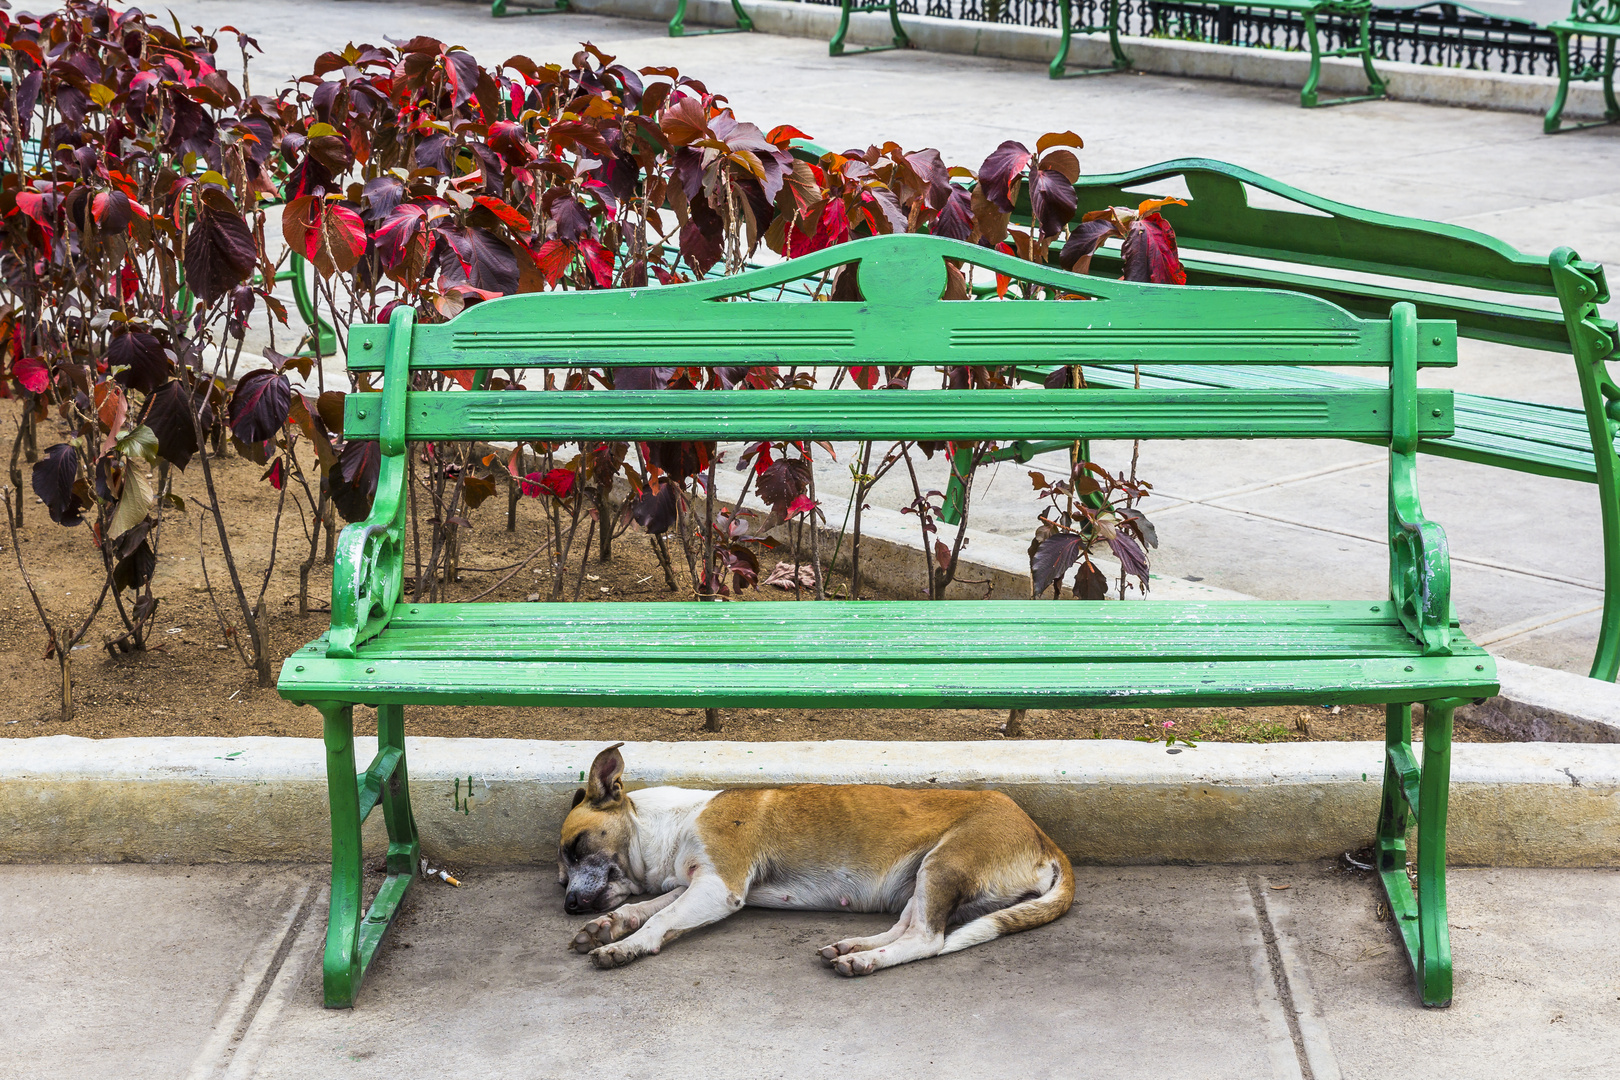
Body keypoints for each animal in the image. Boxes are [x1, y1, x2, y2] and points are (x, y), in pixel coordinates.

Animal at [557, 744, 1075, 977]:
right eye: (561, 876)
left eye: (577, 846)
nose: (569, 905)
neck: (672, 824)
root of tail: (1045, 839)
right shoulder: (694, 886)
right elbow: (644, 908)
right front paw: (608, 926)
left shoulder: (718, 887)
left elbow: (658, 920)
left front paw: (627, 945)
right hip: (922, 879)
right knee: (908, 927)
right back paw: (854, 946)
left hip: (943, 865)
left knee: (928, 940)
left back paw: (866, 960)